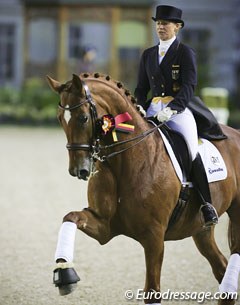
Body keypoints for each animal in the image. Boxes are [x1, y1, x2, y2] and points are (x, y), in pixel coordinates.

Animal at [47, 72, 240, 302]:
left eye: (83, 118)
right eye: (60, 118)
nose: (78, 170)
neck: (124, 163)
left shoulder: (154, 237)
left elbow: (152, 292)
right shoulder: (104, 225)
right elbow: (70, 217)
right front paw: (64, 274)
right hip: (200, 229)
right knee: (221, 267)